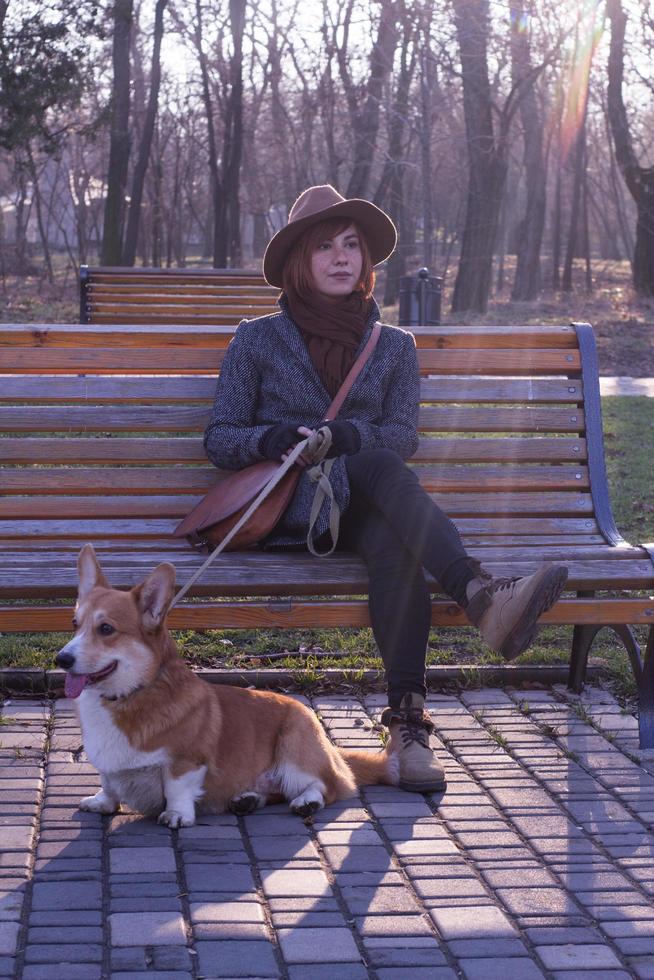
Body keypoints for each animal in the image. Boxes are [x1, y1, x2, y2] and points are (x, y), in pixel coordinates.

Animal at [55, 544, 400, 828]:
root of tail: (332, 748)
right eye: (74, 624)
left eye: (106, 629)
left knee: (330, 786)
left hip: (295, 748)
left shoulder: (188, 761)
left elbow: (177, 787)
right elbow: (109, 783)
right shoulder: (108, 767)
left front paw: (177, 814)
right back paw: (248, 798)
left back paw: (307, 801)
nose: (62, 659)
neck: (129, 695)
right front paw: (103, 802)